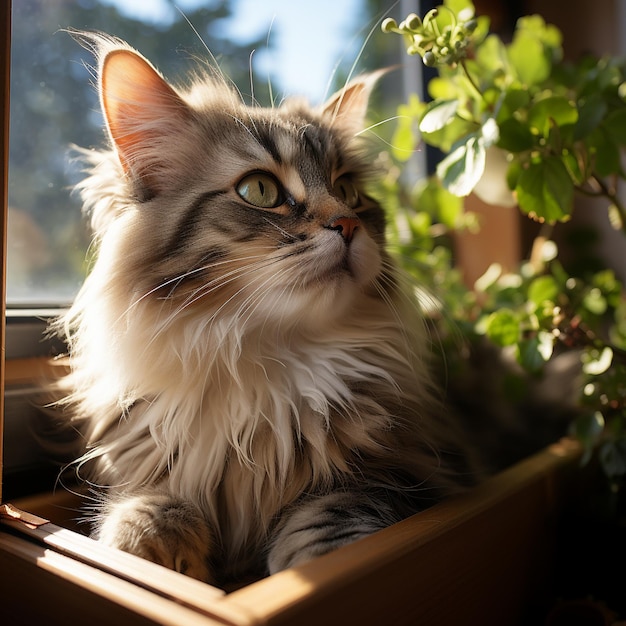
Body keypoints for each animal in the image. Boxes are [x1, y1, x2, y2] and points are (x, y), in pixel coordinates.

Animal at [51, 29, 552, 584]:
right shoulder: (147, 462)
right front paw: (151, 551)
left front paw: (313, 560)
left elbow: (337, 507)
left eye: (348, 191)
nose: (348, 224)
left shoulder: (424, 466)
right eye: (259, 190)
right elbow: (144, 506)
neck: (266, 370)